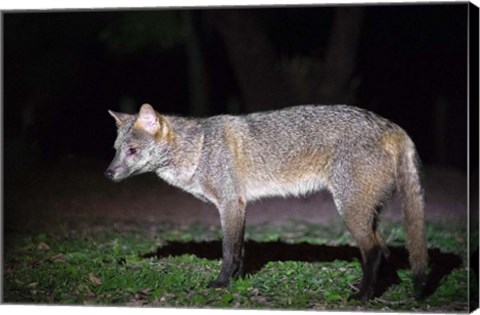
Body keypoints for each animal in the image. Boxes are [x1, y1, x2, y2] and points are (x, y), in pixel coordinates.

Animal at [104, 103, 428, 302]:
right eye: (117, 150)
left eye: (132, 151)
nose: (108, 173)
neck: (198, 149)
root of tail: (391, 126)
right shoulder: (240, 205)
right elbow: (240, 251)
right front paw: (236, 282)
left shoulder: (229, 204)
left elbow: (228, 251)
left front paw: (221, 284)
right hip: (367, 213)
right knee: (384, 249)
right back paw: (380, 288)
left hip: (350, 211)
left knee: (373, 251)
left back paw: (362, 295)